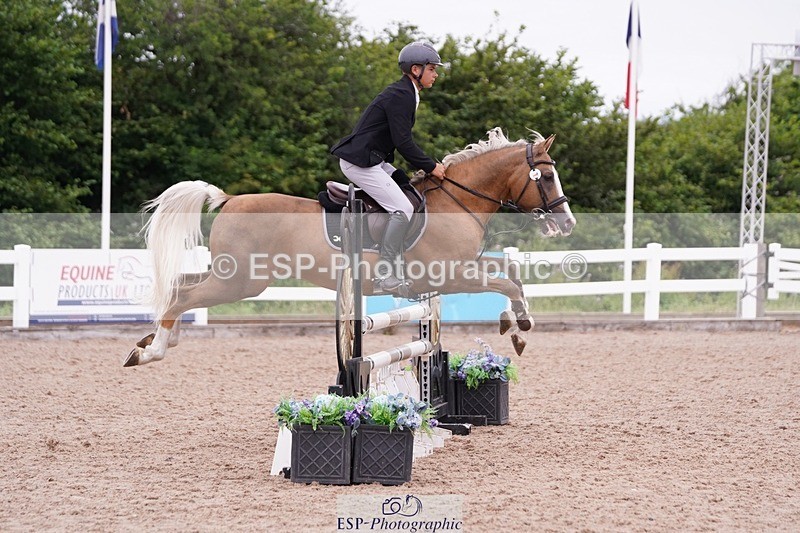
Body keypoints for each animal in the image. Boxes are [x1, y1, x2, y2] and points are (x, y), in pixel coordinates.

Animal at [124, 127, 576, 366]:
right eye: (547, 177)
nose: (568, 222)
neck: (457, 201)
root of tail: (230, 199)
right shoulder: (449, 275)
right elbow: (506, 283)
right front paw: (521, 327)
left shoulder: (464, 269)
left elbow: (511, 274)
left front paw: (514, 324)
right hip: (241, 280)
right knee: (184, 295)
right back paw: (152, 351)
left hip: (229, 273)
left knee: (180, 285)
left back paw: (156, 341)